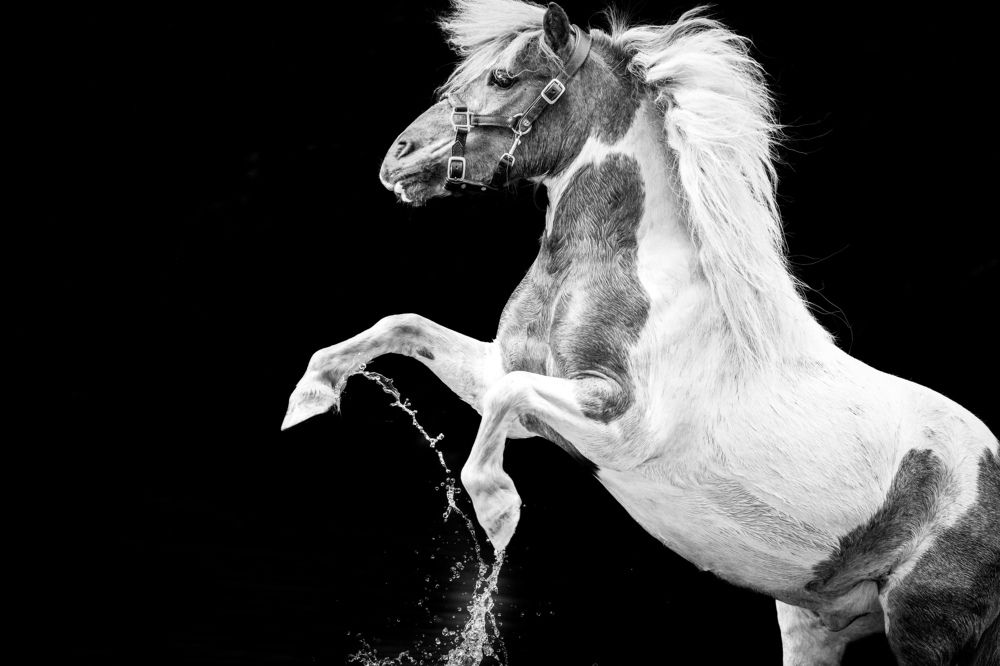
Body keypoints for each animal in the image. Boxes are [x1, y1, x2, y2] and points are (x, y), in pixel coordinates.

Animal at [282, 2, 999, 663]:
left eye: (503, 77)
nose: (396, 160)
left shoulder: (619, 420)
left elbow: (505, 399)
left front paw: (497, 510)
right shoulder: (516, 385)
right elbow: (406, 327)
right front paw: (308, 398)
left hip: (924, 631)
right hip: (813, 624)